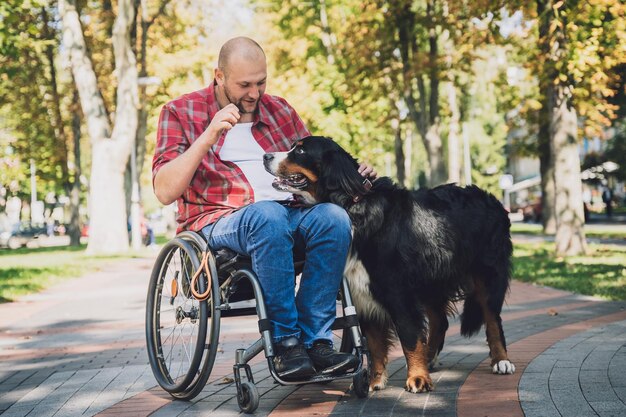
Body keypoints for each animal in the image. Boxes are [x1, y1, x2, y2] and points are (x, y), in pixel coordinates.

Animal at [264, 135, 512, 392]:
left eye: (301, 150)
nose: (266, 156)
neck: (351, 206)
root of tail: (492, 199)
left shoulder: (397, 290)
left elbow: (410, 337)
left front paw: (417, 378)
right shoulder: (360, 291)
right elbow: (374, 344)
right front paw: (373, 381)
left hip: (487, 275)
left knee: (493, 319)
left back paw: (501, 361)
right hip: (431, 281)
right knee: (440, 321)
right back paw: (430, 358)